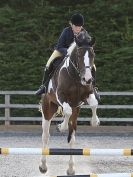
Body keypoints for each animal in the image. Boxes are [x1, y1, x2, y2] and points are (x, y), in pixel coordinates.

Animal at [39, 30, 99, 174]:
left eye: (93, 55)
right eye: (79, 55)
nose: (87, 79)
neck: (76, 76)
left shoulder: (87, 95)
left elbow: (94, 104)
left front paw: (95, 122)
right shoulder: (60, 96)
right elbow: (67, 111)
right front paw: (61, 127)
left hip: (76, 111)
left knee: (71, 138)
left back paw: (71, 169)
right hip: (48, 108)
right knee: (45, 136)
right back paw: (43, 166)